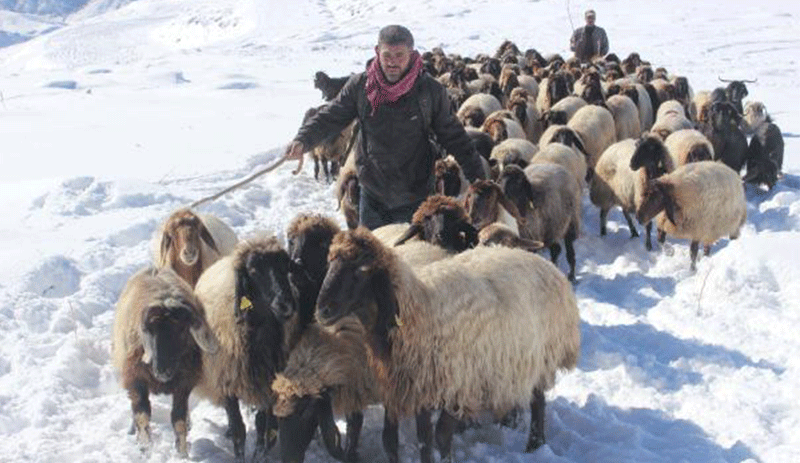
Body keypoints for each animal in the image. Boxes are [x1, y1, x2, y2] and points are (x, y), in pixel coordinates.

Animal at [111, 266, 219, 458]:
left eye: (183, 330)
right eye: (150, 331)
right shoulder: (136, 378)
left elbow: (178, 418)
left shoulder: (184, 384)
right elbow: (142, 415)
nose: (162, 371)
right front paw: (146, 450)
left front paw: (182, 454)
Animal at [195, 237, 302, 462]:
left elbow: (262, 425)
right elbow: (238, 429)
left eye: (284, 265)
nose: (285, 303)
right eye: (253, 270)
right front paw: (239, 455)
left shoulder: (267, 382)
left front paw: (260, 454)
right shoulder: (227, 381)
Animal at [314, 228, 580, 463]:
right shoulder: (416, 387)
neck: (418, 311)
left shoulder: (459, 385)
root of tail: (543, 263)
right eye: (330, 263)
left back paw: (535, 444)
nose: (322, 310)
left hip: (542, 355)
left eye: (360, 271)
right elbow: (418, 440)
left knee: (538, 401)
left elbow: (441, 436)